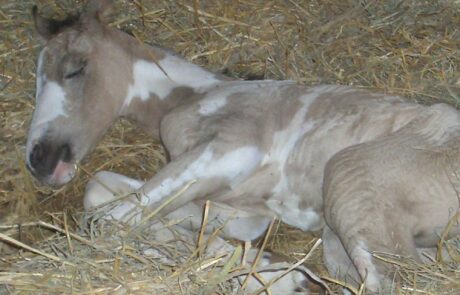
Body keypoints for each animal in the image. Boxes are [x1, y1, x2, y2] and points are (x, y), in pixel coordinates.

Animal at [27, 0, 460, 294]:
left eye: (75, 69)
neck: (197, 95)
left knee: (395, 281)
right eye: (37, 75)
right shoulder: (239, 208)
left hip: (349, 181)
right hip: (351, 241)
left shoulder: (230, 149)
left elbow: (113, 221)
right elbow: (107, 195)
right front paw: (273, 270)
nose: (39, 160)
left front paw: (279, 277)